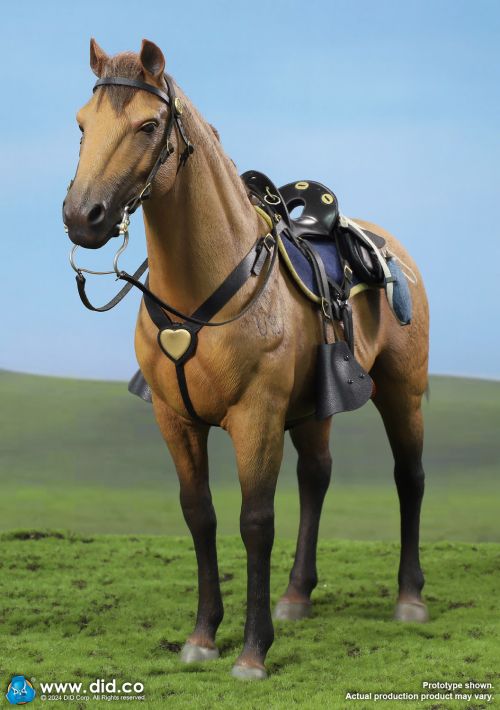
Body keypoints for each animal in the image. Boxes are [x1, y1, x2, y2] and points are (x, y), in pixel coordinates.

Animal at [63, 38, 430, 680]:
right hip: (313, 409)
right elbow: (199, 514)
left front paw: (253, 651)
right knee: (316, 477)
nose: (83, 217)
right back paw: (296, 596)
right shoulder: (174, 420)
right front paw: (202, 636)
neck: (198, 291)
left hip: (401, 390)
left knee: (408, 476)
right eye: (83, 124)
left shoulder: (255, 417)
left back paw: (408, 598)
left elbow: (255, 523)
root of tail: (392, 250)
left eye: (149, 125)